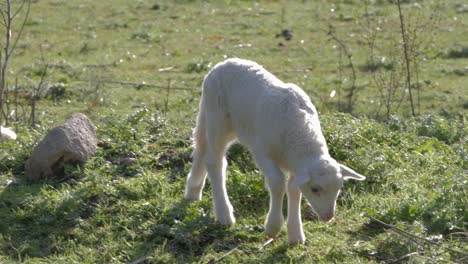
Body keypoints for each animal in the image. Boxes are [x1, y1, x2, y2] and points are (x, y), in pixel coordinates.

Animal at [183, 57, 366, 243]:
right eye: (315, 189)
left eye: (339, 188)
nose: (329, 216)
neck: (299, 134)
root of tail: (223, 63)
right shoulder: (262, 151)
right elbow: (278, 183)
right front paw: (273, 226)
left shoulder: (295, 164)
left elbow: (294, 189)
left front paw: (295, 234)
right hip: (218, 119)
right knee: (214, 162)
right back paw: (224, 214)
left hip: (214, 119)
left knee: (200, 148)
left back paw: (193, 191)